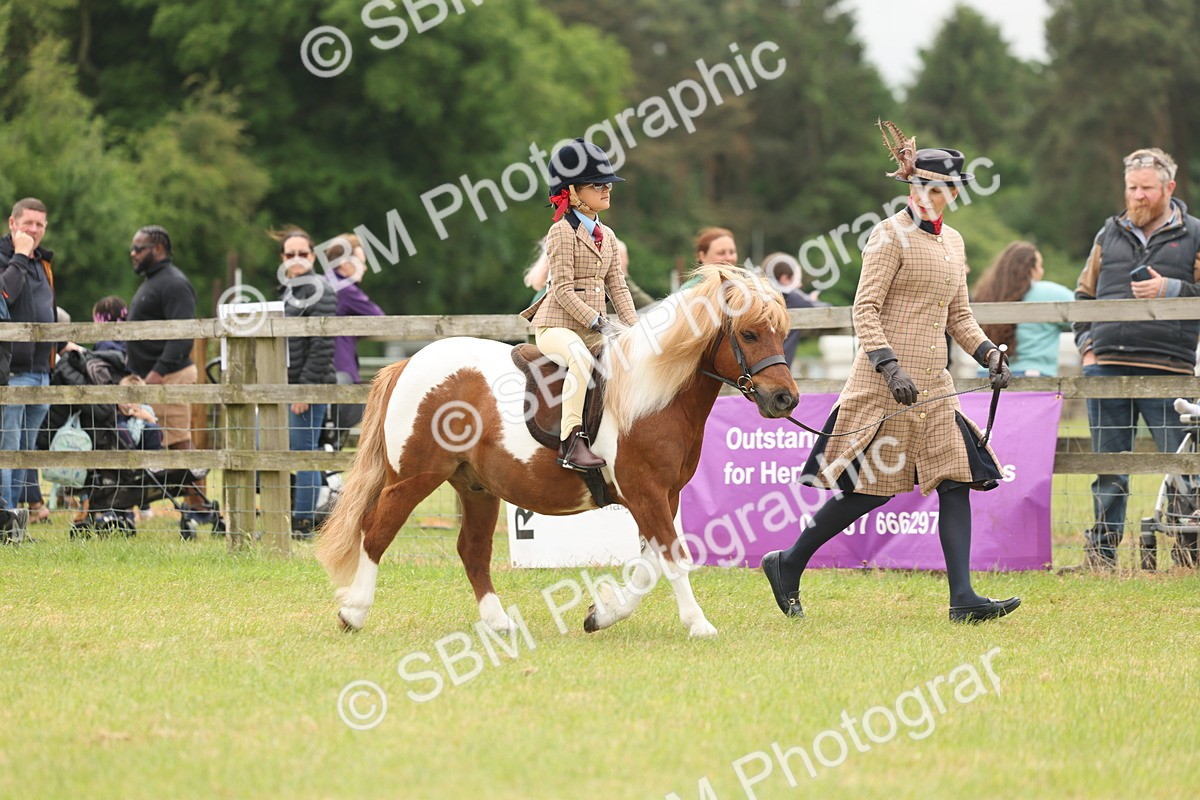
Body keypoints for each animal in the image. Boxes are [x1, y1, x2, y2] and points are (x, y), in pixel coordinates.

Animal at [316, 264, 800, 637]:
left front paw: (601, 615)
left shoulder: (665, 496)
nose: (785, 400)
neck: (653, 395)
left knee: (472, 550)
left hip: (475, 487)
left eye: (782, 333)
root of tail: (407, 363)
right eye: (749, 334)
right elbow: (672, 560)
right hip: (415, 477)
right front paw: (699, 624)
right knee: (376, 532)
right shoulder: (646, 494)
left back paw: (498, 624)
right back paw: (353, 612)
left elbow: (648, 567)